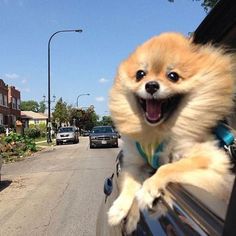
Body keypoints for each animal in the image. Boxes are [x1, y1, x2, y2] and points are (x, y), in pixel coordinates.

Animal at [108, 32, 235, 233]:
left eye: (173, 76)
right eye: (140, 74)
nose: (151, 85)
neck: (156, 131)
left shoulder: (211, 158)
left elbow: (168, 167)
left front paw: (148, 189)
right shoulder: (135, 163)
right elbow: (129, 183)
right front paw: (119, 208)